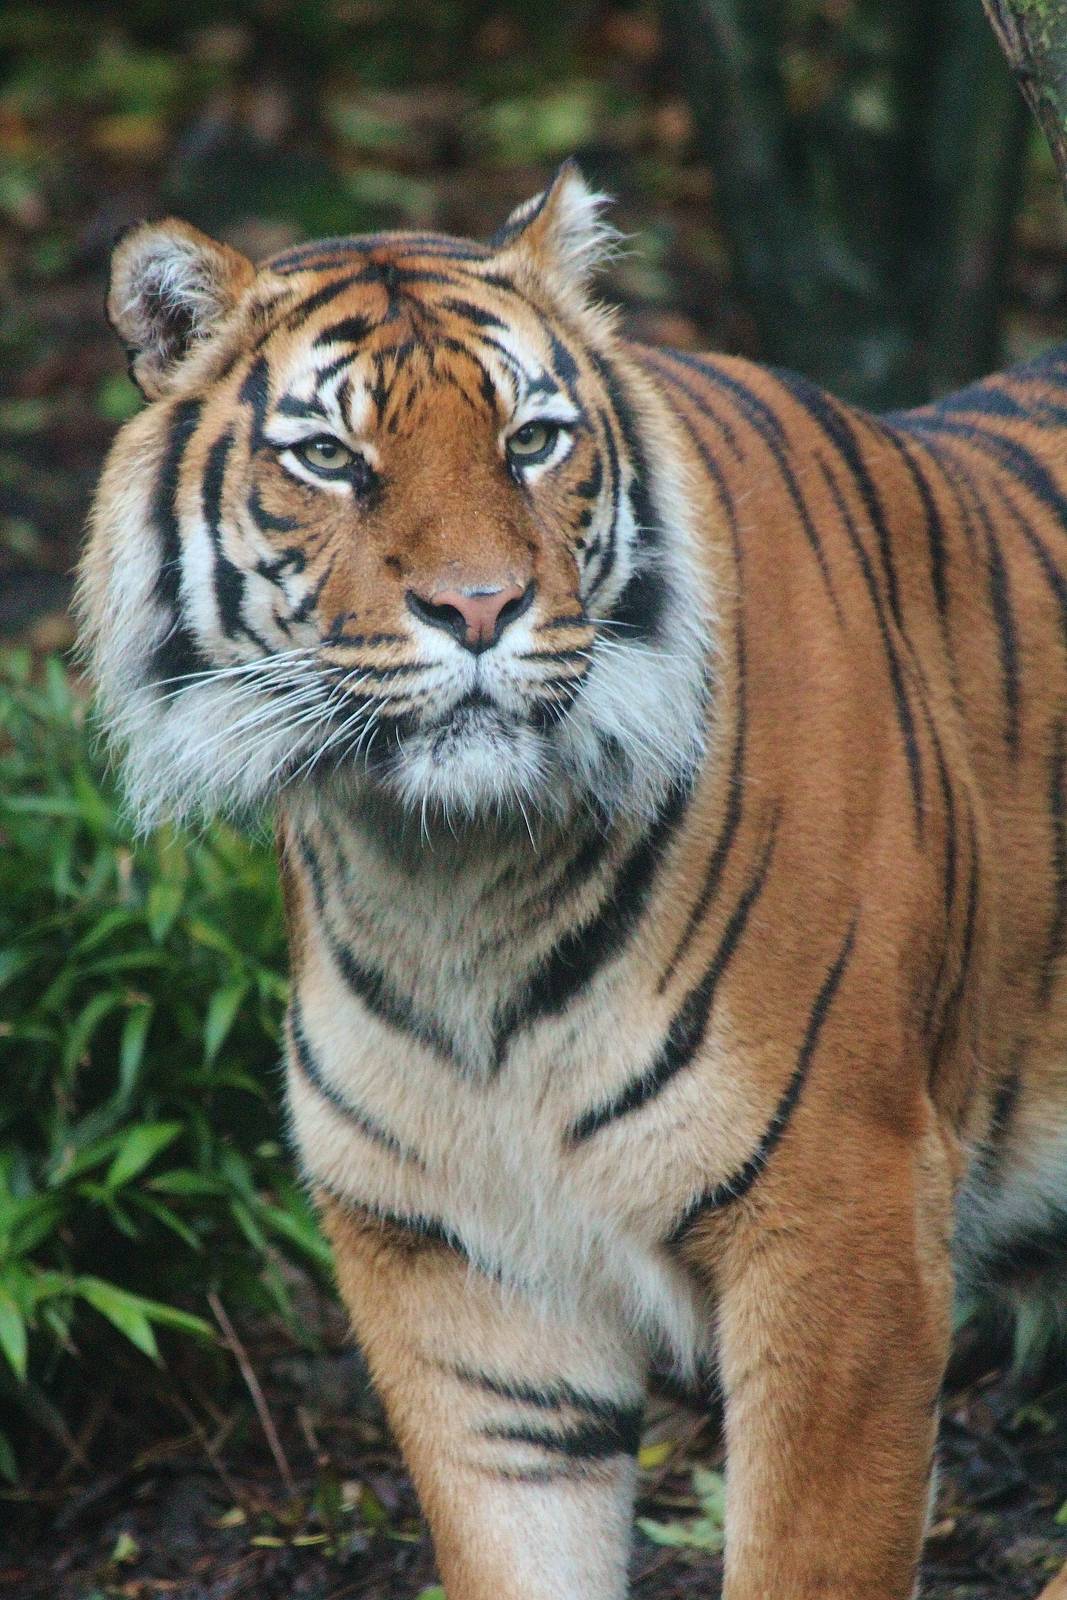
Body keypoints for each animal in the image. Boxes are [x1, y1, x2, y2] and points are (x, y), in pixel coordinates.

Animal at [78, 160, 1067, 1599]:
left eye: (531, 441)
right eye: (329, 458)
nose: (479, 608)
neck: (447, 877)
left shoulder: (845, 1226)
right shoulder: (456, 1277)